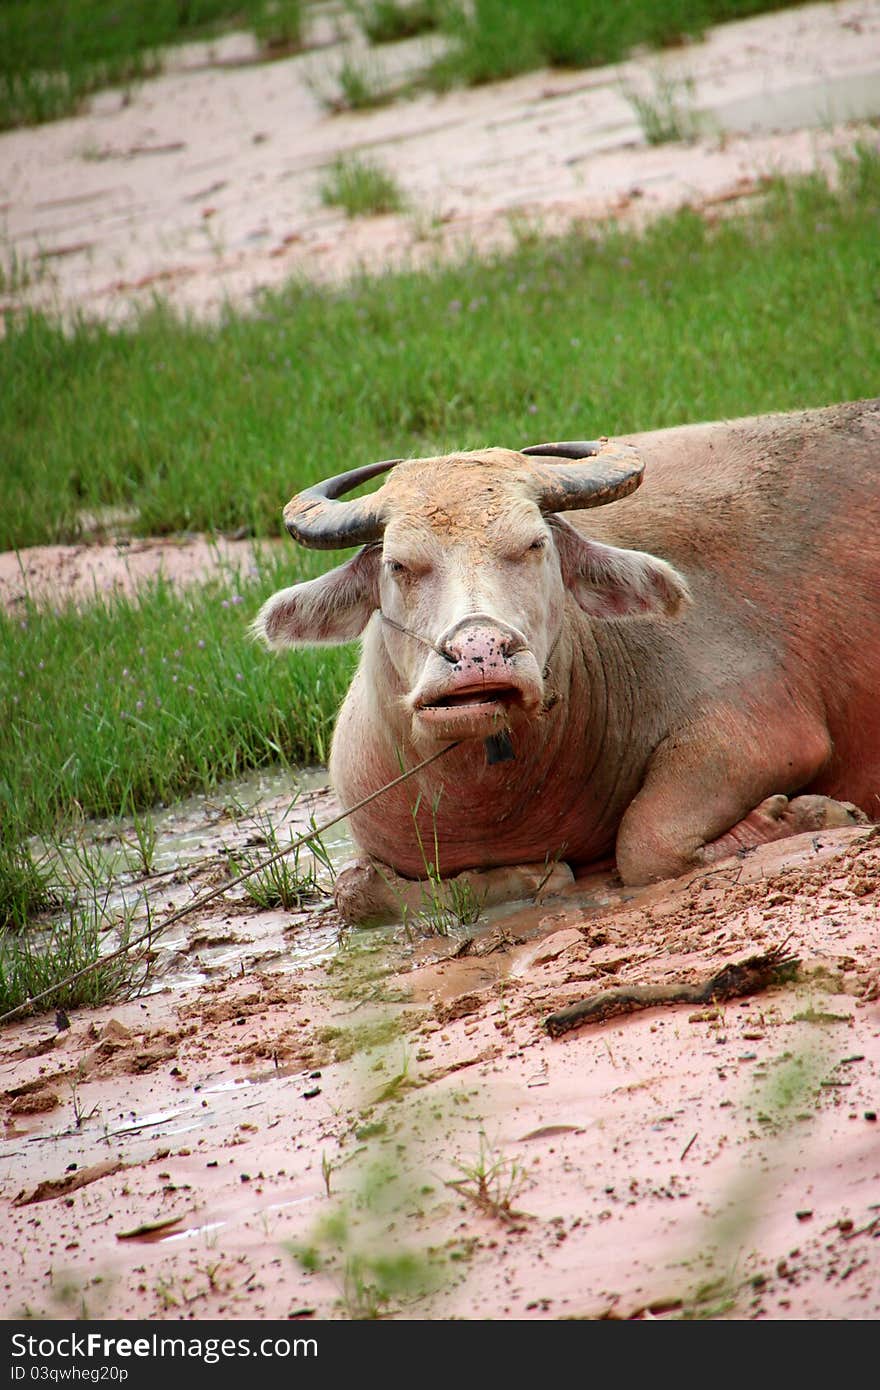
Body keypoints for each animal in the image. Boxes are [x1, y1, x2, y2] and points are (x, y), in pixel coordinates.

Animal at [254, 403, 878, 922]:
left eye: (535, 545)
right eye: (398, 565)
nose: (479, 654)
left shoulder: (762, 732)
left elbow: (646, 843)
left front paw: (807, 816)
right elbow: (355, 889)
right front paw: (535, 876)